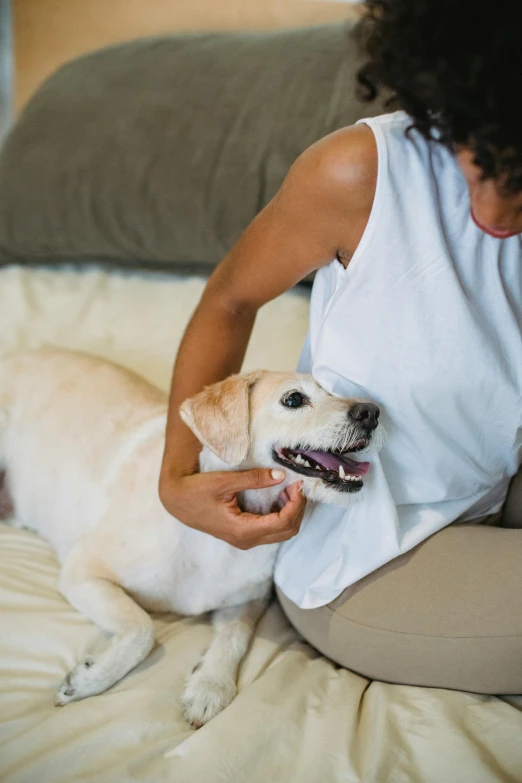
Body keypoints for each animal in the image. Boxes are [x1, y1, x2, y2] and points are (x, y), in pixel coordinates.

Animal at [0, 350, 382, 728]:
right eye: (293, 399)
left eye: (335, 390)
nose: (372, 412)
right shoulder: (83, 571)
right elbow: (142, 629)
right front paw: (89, 680)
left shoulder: (247, 602)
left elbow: (234, 638)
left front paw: (210, 687)